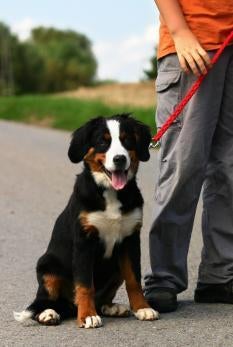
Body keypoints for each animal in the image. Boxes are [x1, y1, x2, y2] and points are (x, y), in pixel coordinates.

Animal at [13, 114, 159, 328]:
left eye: (127, 140)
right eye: (103, 142)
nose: (120, 159)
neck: (110, 192)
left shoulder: (130, 239)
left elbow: (134, 279)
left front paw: (142, 308)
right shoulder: (84, 241)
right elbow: (84, 284)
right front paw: (87, 316)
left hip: (116, 268)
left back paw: (111, 307)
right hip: (47, 266)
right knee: (43, 300)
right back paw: (49, 313)